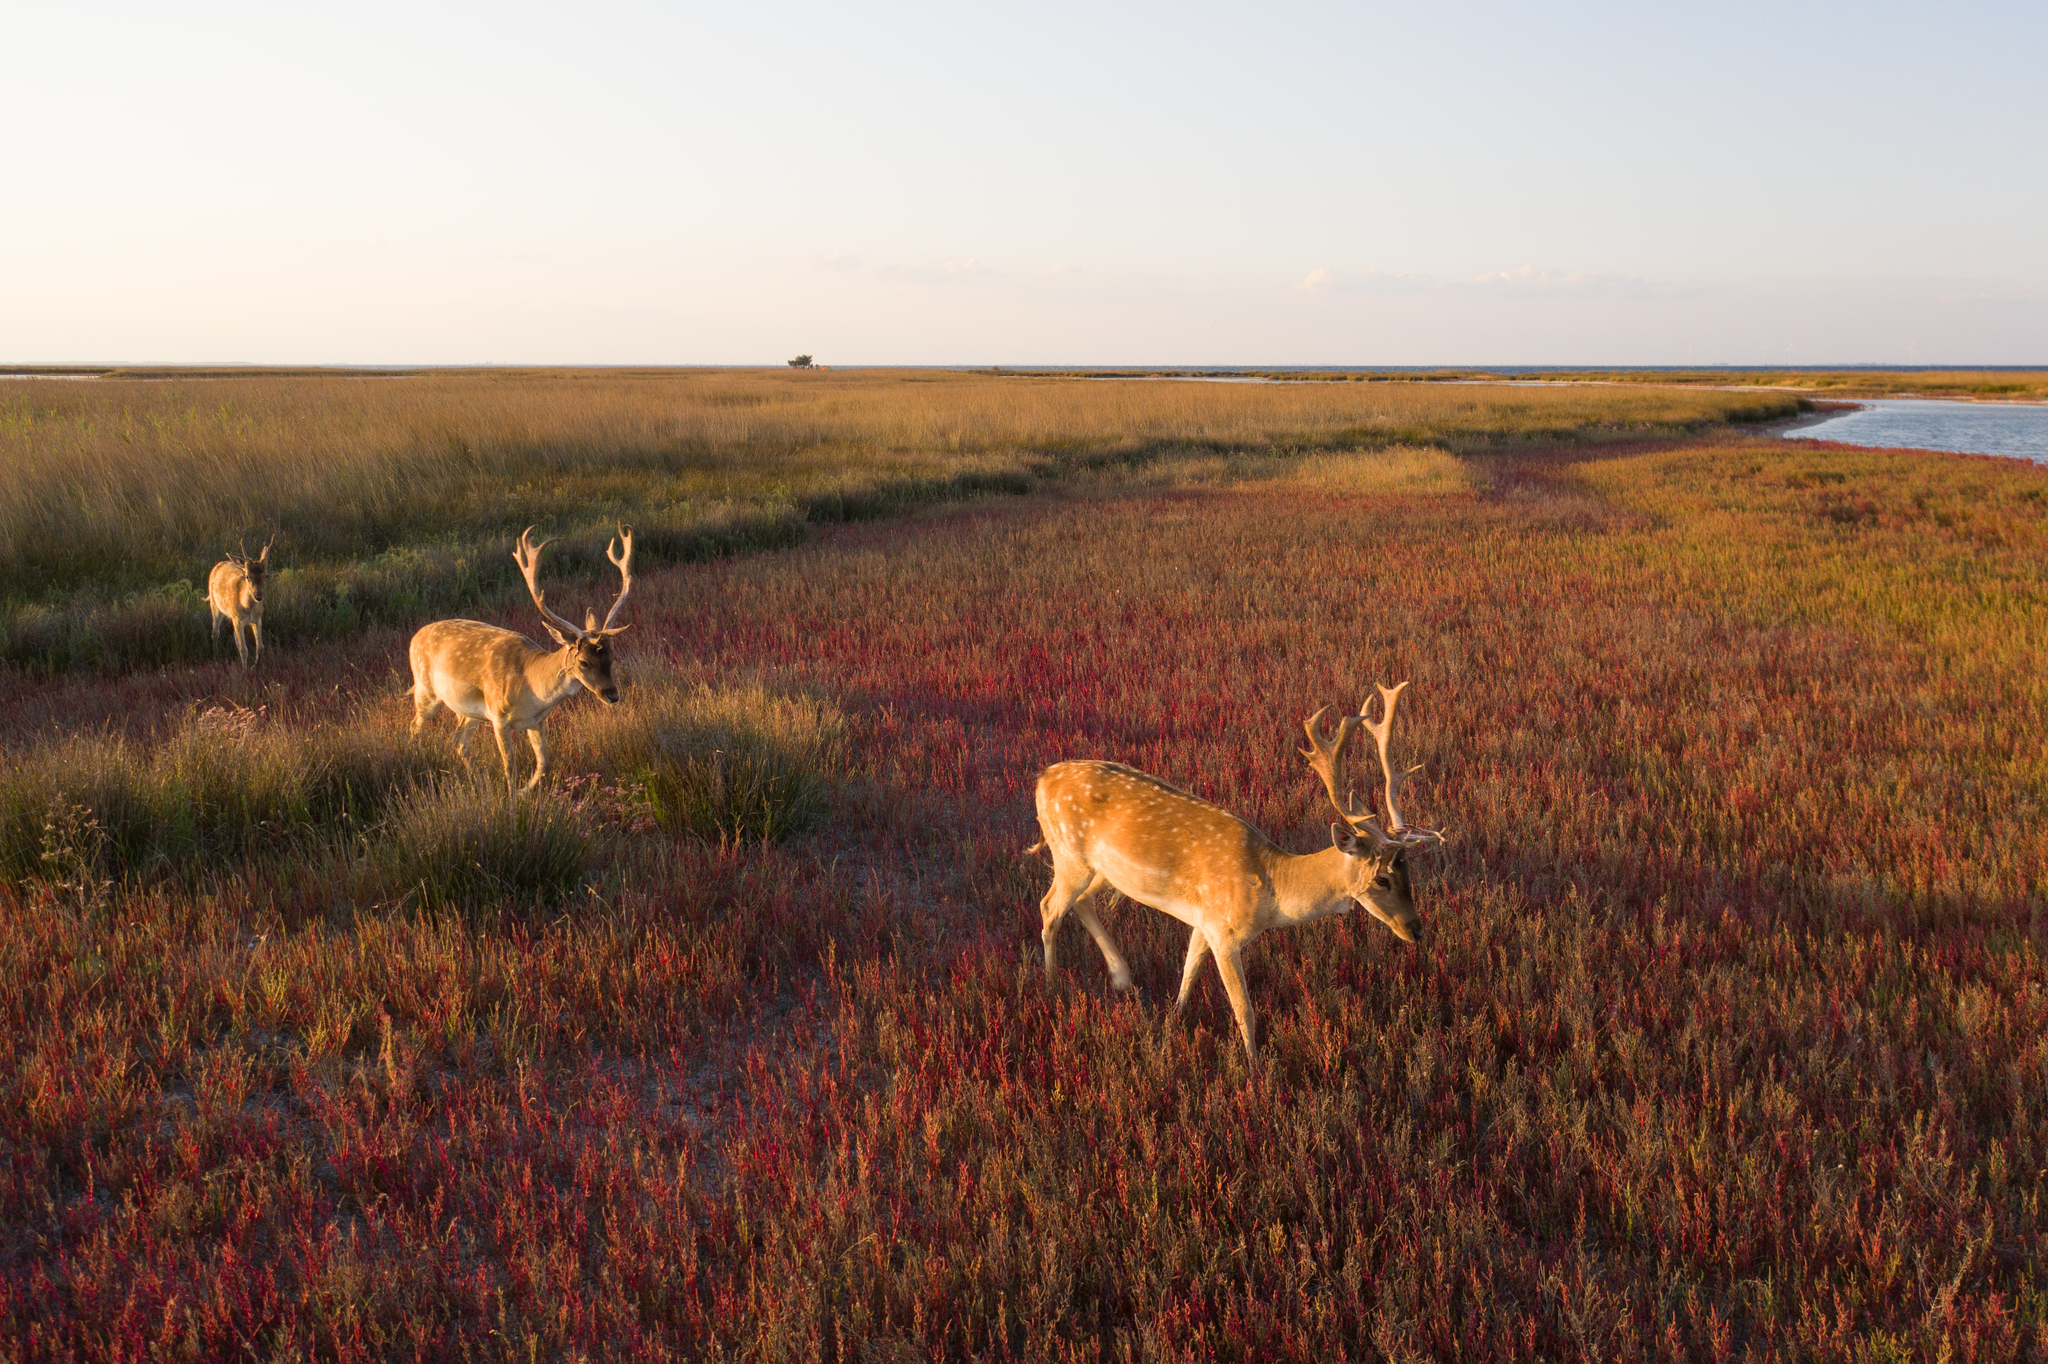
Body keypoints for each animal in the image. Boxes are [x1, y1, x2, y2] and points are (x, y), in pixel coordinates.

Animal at [411, 520, 634, 798]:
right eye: (584, 662)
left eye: (613, 656)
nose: (612, 695)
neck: (533, 688)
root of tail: (415, 636)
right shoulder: (498, 716)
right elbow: (510, 767)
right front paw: (511, 801)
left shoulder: (537, 721)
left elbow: (544, 763)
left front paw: (522, 792)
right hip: (426, 690)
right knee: (416, 728)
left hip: (468, 711)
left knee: (458, 742)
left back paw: (480, 783)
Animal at [1032, 684, 1449, 1056]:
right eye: (1381, 878)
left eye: (1409, 871)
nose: (1417, 930)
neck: (1272, 890)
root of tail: (1041, 778)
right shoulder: (1224, 930)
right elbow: (1244, 1010)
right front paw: (1254, 1072)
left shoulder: (1204, 921)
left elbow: (1188, 973)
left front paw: (1172, 1024)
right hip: (1067, 851)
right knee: (1049, 907)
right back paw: (1052, 986)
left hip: (1101, 870)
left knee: (1080, 903)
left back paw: (1121, 977)